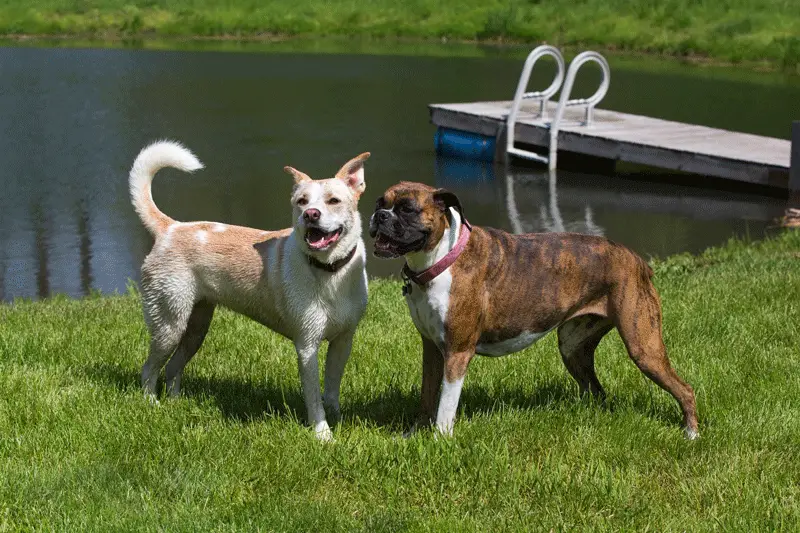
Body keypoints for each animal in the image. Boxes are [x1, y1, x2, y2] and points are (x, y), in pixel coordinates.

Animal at [129, 139, 372, 438]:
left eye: (334, 201)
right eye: (301, 201)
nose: (310, 215)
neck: (329, 271)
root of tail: (170, 228)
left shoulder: (343, 341)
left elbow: (332, 389)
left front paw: (338, 419)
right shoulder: (307, 346)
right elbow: (315, 398)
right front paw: (323, 435)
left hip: (196, 327)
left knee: (173, 368)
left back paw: (176, 404)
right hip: (168, 324)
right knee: (149, 369)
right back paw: (152, 405)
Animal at [370, 181, 700, 438]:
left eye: (407, 209)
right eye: (380, 203)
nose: (379, 216)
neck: (442, 259)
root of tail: (637, 260)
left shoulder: (457, 352)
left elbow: (445, 405)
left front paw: (440, 439)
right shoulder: (431, 349)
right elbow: (427, 396)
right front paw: (413, 434)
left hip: (644, 348)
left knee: (685, 389)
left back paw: (691, 433)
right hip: (573, 347)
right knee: (596, 390)